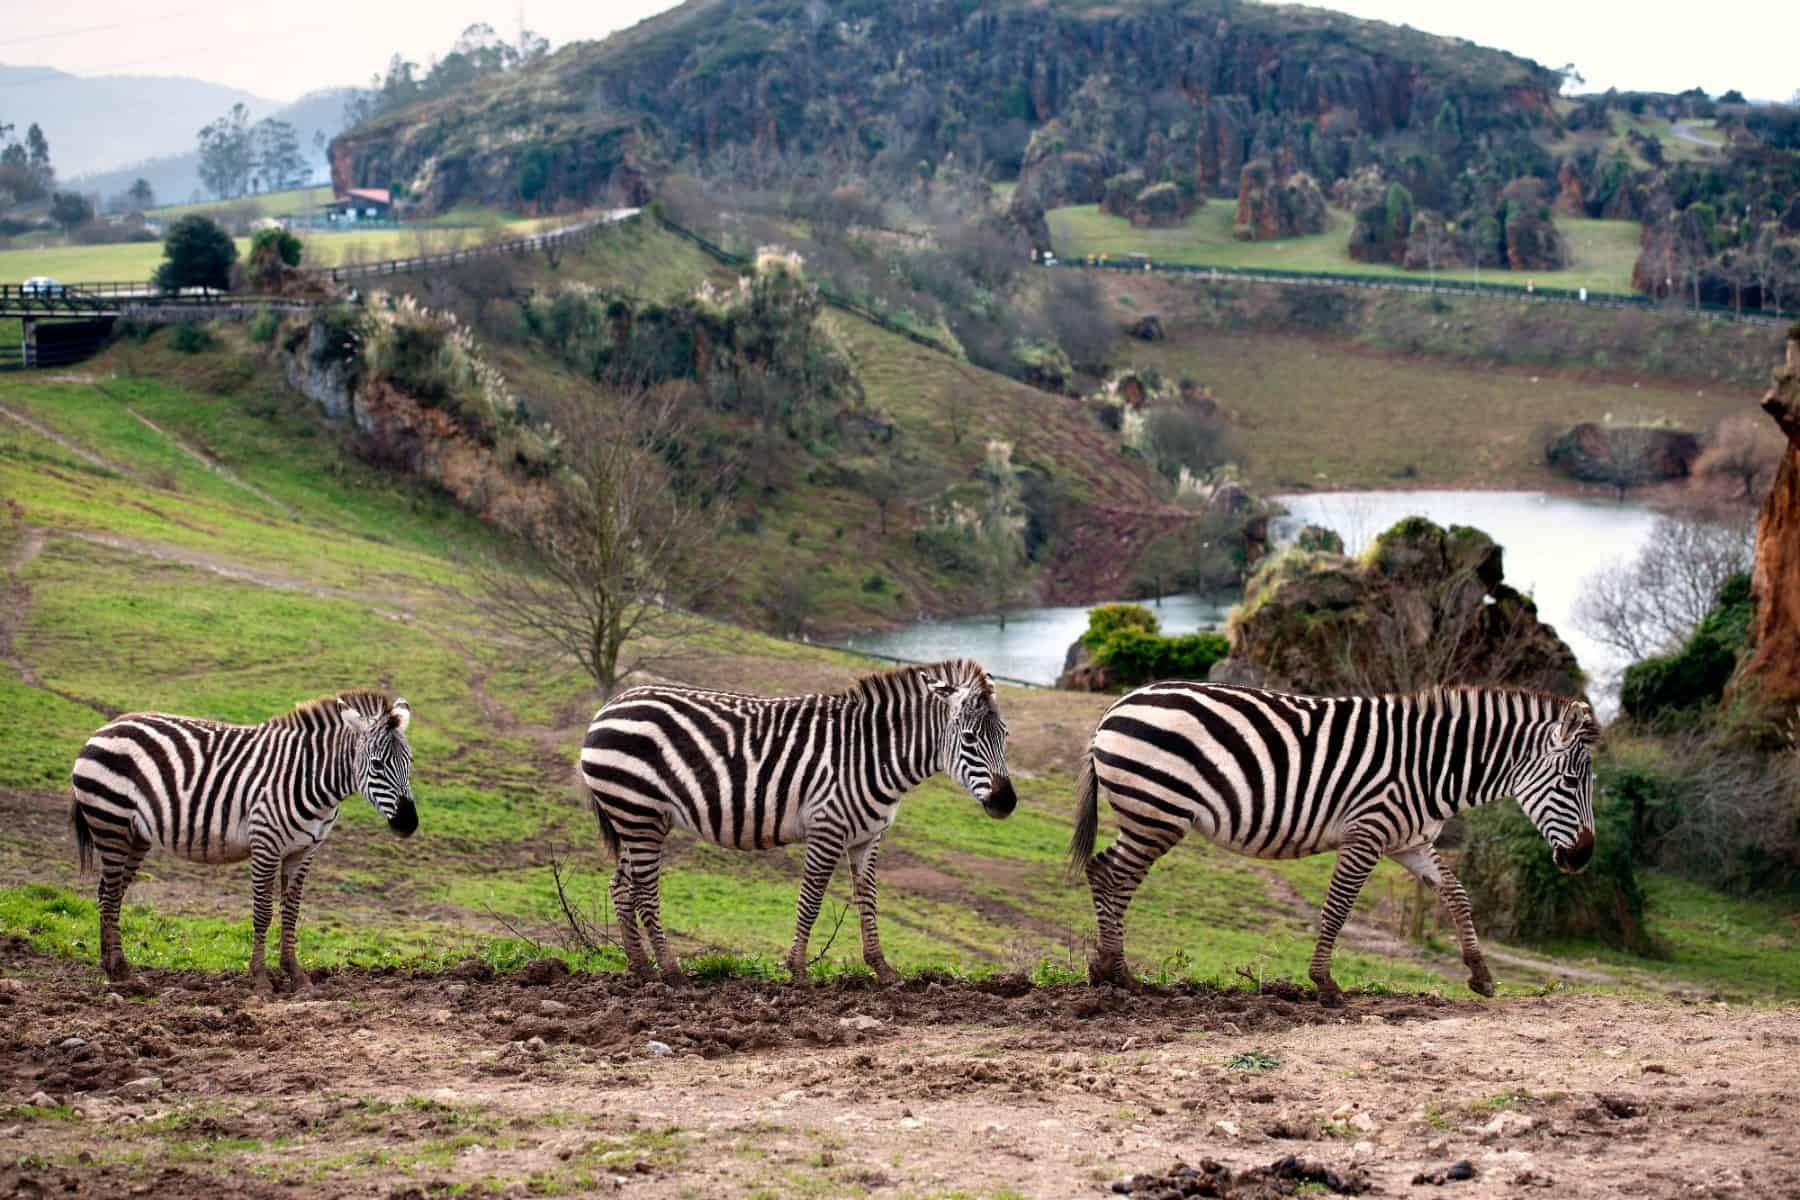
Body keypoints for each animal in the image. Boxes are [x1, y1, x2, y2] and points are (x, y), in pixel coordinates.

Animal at [71, 690, 417, 993]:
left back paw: (111, 969)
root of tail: (107, 727)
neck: (310, 779)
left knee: (107, 893)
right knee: (110, 895)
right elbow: (263, 911)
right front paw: (261, 979)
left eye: (410, 763)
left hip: (135, 835)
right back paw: (122, 972)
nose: (409, 824)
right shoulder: (266, 844)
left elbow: (291, 912)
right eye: (377, 764)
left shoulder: (303, 852)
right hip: (110, 821)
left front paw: (296, 975)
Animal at [586, 658, 1022, 985]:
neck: (872, 753)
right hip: (638, 812)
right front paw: (797, 970)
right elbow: (811, 899)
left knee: (621, 888)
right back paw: (672, 972)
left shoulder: (868, 837)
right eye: (969, 739)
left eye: (1004, 736)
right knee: (645, 892)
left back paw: (641, 969)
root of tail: (610, 705)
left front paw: (882, 969)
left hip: (640, 818)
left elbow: (868, 899)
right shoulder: (827, 827)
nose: (1006, 803)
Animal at [1058, 683, 1598, 1007]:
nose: (1582, 858)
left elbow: (1458, 895)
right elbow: (1338, 907)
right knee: (1114, 875)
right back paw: (1119, 973)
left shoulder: (1410, 841)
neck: (1431, 767)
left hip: (1148, 814)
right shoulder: (1367, 832)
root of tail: (1118, 704)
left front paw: (1480, 974)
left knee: (1104, 870)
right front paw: (1325, 983)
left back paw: (1105, 969)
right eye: (1572, 782)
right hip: (1158, 813)